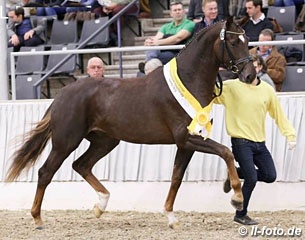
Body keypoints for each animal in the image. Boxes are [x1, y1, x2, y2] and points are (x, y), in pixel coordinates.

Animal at [5, 17, 255, 229]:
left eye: (248, 42)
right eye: (233, 41)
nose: (250, 76)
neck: (188, 81)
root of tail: (61, 96)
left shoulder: (186, 144)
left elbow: (177, 177)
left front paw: (171, 217)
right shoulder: (187, 138)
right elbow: (226, 152)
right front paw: (237, 197)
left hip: (105, 141)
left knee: (81, 165)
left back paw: (100, 206)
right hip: (66, 142)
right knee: (46, 172)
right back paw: (38, 219)